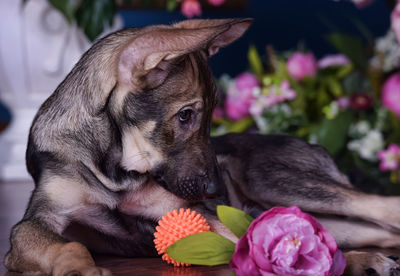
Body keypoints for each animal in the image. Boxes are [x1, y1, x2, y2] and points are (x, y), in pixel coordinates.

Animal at [4, 18, 400, 274]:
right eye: (185, 116)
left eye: (210, 115)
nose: (216, 191)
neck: (114, 169)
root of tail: (317, 149)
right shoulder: (38, 220)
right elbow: (62, 242)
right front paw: (79, 269)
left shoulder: (191, 214)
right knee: (364, 232)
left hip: (272, 180)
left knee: (382, 208)